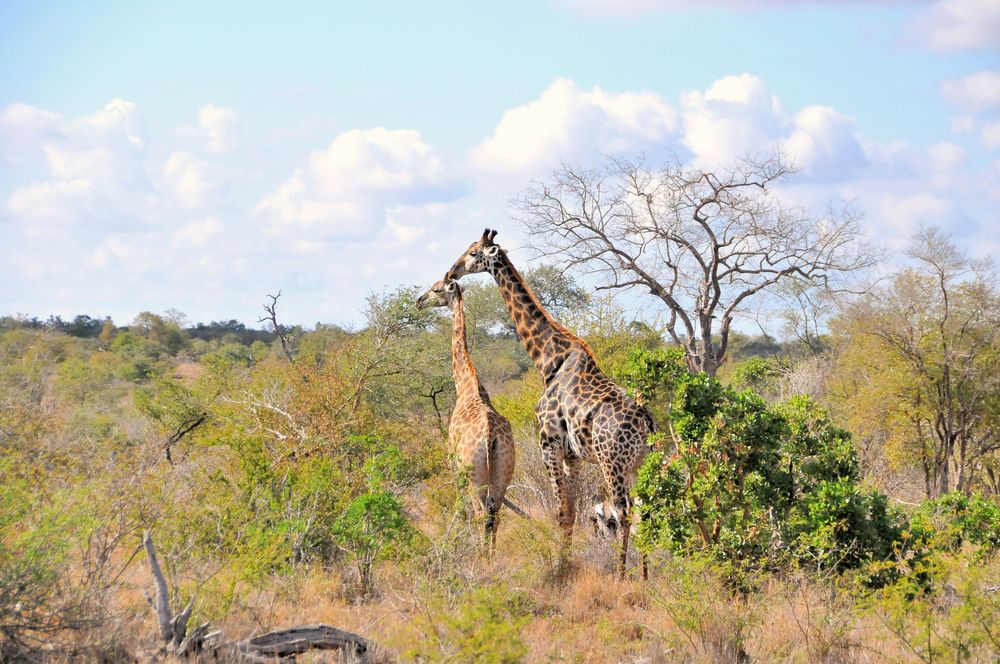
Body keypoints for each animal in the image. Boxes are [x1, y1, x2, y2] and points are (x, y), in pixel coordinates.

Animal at [418, 276, 520, 556]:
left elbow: (460, 511)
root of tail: (490, 436)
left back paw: (480, 560)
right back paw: (491, 559)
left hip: (475, 476)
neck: (464, 385)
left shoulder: (454, 467)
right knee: (495, 515)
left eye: (436, 289)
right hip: (504, 472)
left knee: (479, 513)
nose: (419, 301)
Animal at [446, 227, 656, 576]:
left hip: (612, 463)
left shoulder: (549, 444)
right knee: (644, 511)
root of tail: (646, 424)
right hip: (640, 464)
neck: (549, 359)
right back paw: (643, 576)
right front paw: (565, 563)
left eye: (474, 252)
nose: (451, 272)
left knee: (623, 511)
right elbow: (570, 513)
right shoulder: (572, 455)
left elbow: (560, 512)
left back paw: (621, 575)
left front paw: (559, 569)